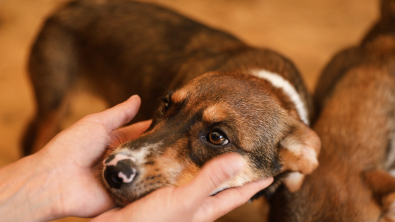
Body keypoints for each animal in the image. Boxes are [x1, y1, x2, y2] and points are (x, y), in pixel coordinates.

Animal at [24, 0, 322, 206]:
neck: (268, 82)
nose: (114, 170)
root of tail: (69, 6)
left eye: (217, 137)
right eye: (166, 104)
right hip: (53, 100)